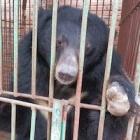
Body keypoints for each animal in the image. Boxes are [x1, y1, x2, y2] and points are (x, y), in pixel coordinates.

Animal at [0, 5, 138, 140]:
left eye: (87, 49)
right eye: (59, 41)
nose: (66, 74)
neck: (61, 85)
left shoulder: (86, 92)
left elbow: (95, 131)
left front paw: (118, 96)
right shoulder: (28, 84)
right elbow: (13, 114)